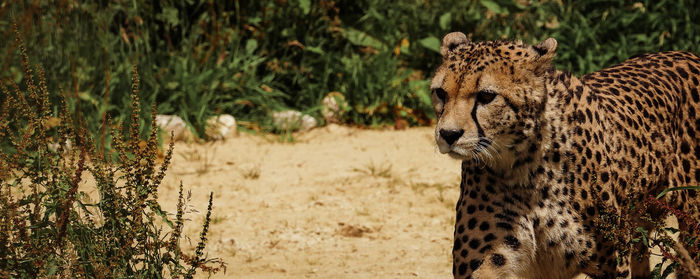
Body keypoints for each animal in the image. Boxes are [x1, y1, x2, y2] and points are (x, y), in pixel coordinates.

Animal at [432, 31, 700, 278]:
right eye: (441, 93)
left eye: (487, 96)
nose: (447, 134)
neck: (523, 165)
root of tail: (683, 53)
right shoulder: (491, 260)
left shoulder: (611, 262)